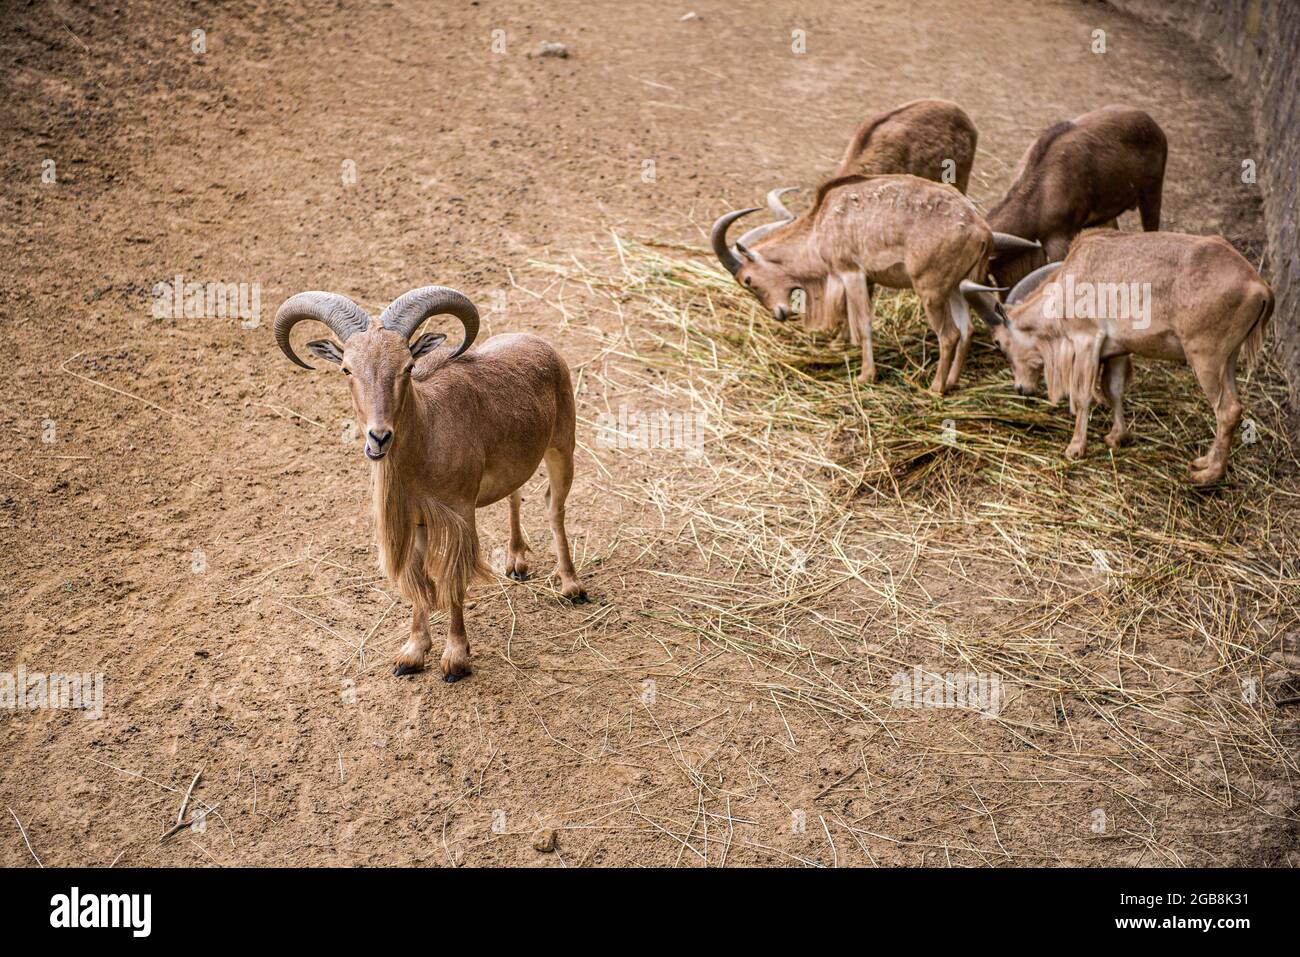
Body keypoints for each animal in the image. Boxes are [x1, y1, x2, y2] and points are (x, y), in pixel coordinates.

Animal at [274, 283, 590, 681]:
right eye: (347, 369)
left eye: (408, 367)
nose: (379, 437)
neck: (427, 436)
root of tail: (543, 345)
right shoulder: (416, 521)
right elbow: (419, 580)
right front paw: (411, 654)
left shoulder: (459, 514)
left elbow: (452, 581)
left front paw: (455, 658)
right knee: (515, 496)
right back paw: (517, 562)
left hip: (563, 446)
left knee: (554, 507)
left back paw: (572, 586)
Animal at [712, 172, 1024, 392]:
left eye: (748, 279)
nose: (779, 314)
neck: (820, 226)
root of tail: (980, 229)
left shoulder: (852, 273)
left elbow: (863, 324)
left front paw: (865, 376)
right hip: (959, 287)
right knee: (967, 328)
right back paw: (952, 382)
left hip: (931, 290)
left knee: (949, 334)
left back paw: (935, 388)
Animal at [972, 231, 1274, 486]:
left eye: (999, 343)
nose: (1021, 388)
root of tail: (1259, 287)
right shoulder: (1117, 350)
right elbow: (1114, 390)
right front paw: (1117, 437)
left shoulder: (1086, 340)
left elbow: (1084, 395)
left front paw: (1075, 448)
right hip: (1228, 359)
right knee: (1234, 406)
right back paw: (1203, 461)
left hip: (1205, 356)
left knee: (1227, 410)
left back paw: (1208, 475)